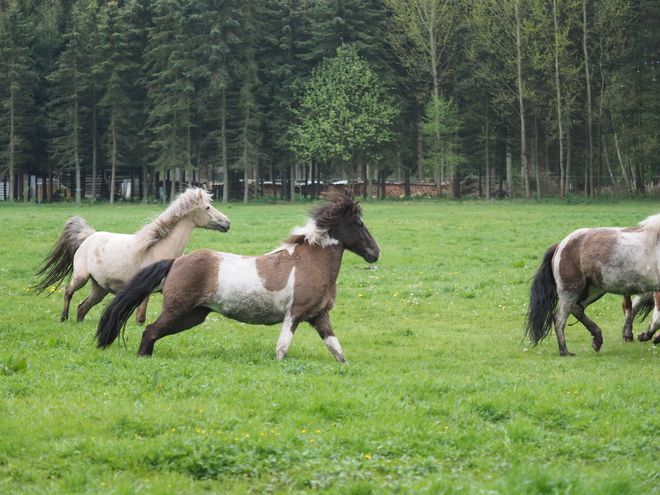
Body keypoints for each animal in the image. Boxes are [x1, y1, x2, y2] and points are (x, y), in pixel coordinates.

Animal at [32, 188, 231, 324]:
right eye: (207, 207)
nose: (227, 223)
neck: (157, 248)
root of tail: (88, 237)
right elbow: (140, 319)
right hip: (81, 277)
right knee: (68, 292)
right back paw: (63, 318)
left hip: (100, 288)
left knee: (82, 308)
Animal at [95, 196, 378, 362]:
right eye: (360, 224)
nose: (375, 252)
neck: (310, 262)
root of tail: (175, 261)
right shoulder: (294, 314)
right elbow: (282, 349)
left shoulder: (319, 316)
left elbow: (336, 349)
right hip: (178, 310)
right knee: (150, 331)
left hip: (193, 316)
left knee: (153, 333)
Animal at [528, 213, 660, 356]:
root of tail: (561, 244)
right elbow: (657, 319)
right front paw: (647, 336)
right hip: (571, 289)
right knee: (559, 318)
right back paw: (564, 351)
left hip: (593, 290)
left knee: (577, 309)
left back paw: (597, 338)